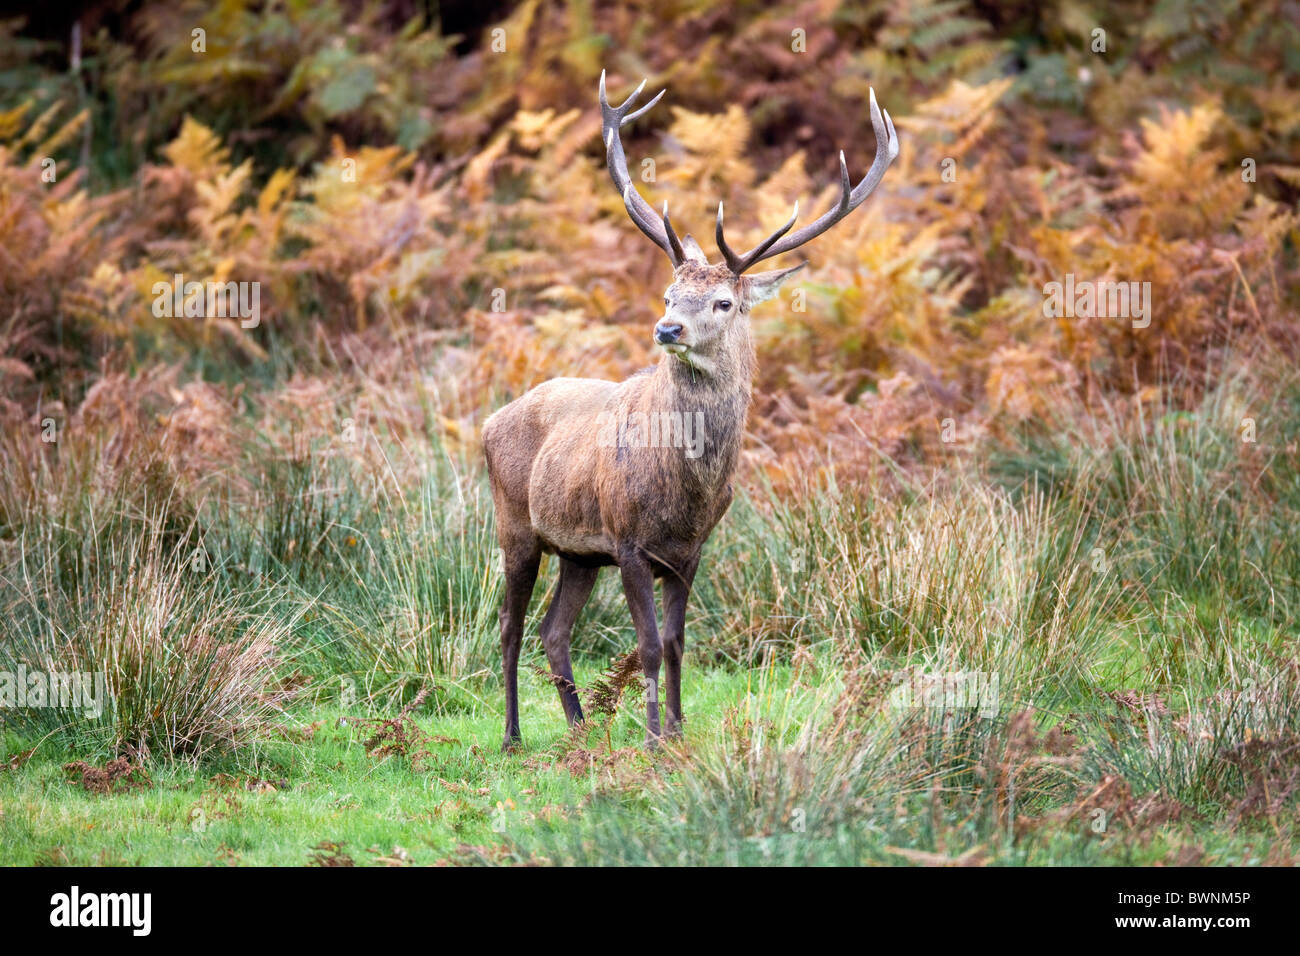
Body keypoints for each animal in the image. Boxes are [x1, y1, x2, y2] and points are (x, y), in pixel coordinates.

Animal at [483, 70, 899, 749]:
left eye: (724, 302)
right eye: (669, 293)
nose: (667, 329)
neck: (688, 490)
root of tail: (491, 421)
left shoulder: (692, 550)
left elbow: (678, 644)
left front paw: (676, 732)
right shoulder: (627, 539)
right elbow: (648, 646)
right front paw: (654, 737)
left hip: (577, 551)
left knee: (554, 629)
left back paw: (579, 731)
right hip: (516, 525)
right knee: (511, 626)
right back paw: (514, 734)